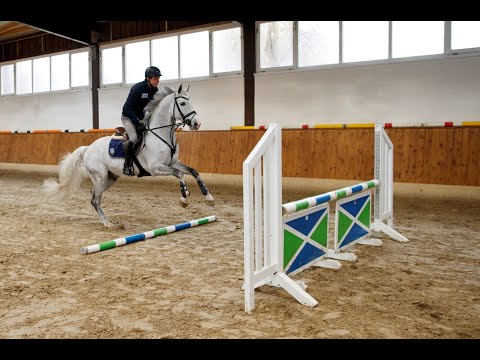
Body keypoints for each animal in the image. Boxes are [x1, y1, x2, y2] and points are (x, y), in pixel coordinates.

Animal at [42, 83, 215, 228]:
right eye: (183, 104)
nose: (197, 124)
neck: (162, 134)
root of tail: (88, 148)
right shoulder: (156, 168)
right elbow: (179, 174)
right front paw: (184, 199)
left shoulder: (173, 162)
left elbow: (193, 171)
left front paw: (209, 198)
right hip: (100, 177)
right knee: (95, 200)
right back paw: (108, 224)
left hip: (110, 178)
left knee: (95, 197)